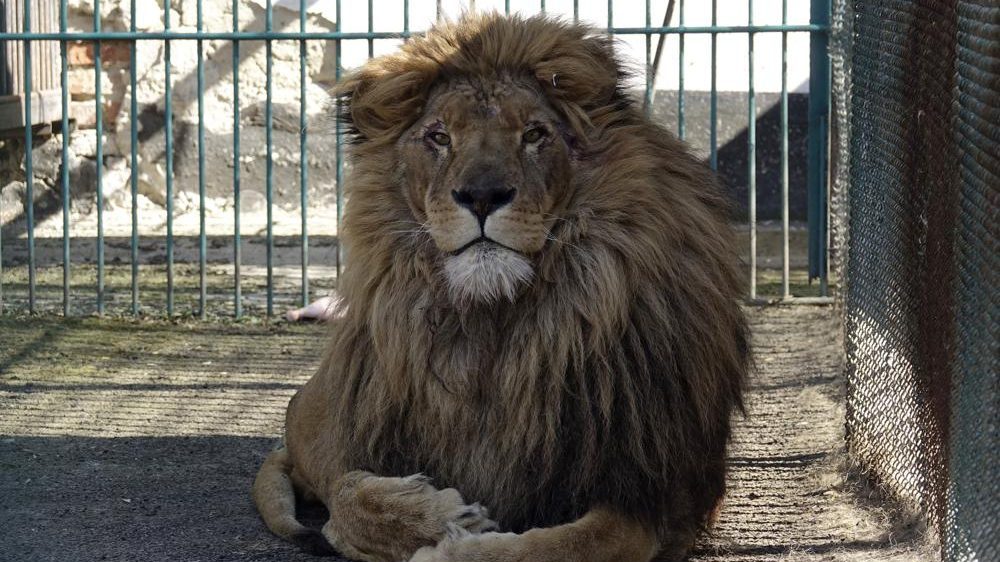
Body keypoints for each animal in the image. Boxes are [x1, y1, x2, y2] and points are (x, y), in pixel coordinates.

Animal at [252, 13, 752, 560]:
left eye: (534, 134)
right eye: (439, 137)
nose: (482, 195)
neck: (498, 324)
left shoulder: (658, 495)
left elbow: (563, 545)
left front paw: (452, 549)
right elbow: (348, 500)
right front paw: (440, 518)